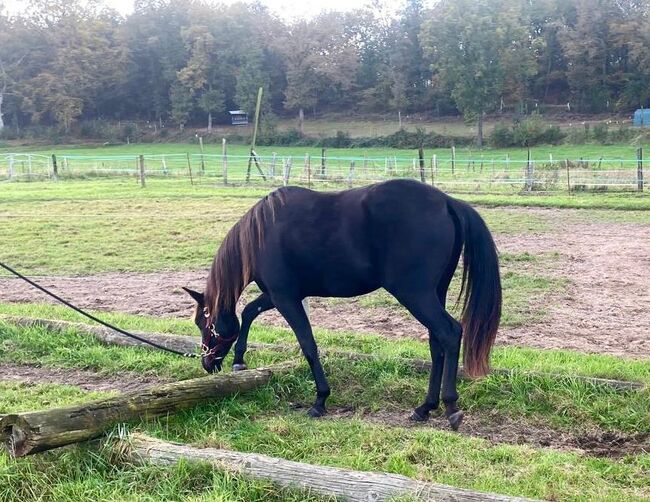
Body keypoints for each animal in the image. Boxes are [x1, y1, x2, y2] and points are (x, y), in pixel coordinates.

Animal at [182, 178, 502, 430]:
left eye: (203, 322)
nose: (207, 363)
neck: (261, 235)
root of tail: (447, 202)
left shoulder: (286, 298)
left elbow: (308, 345)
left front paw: (320, 400)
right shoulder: (277, 295)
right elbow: (249, 311)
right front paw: (239, 360)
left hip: (416, 294)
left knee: (449, 333)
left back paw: (450, 407)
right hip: (435, 292)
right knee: (437, 343)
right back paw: (425, 408)